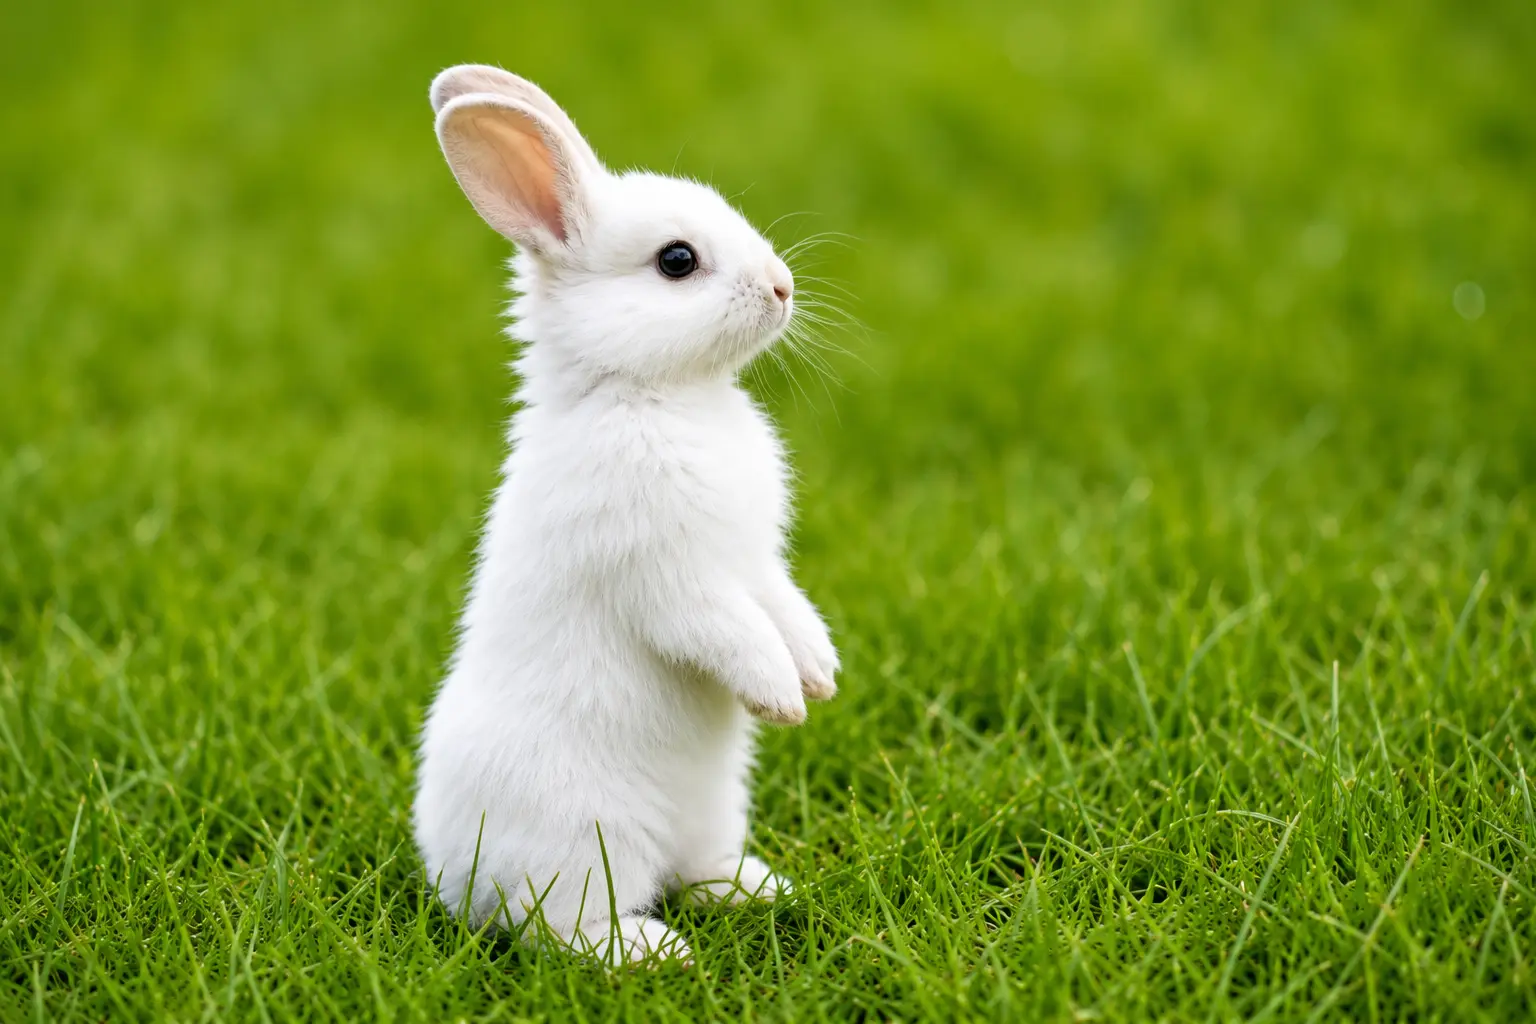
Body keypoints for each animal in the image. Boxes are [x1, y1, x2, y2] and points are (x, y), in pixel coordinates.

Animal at [412, 65, 840, 965]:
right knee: (560, 924)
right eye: (677, 261)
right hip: (583, 840)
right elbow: (733, 632)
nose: (782, 287)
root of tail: (451, 875)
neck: (661, 396)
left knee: (692, 871)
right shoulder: (671, 578)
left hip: (714, 807)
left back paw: (759, 891)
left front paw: (819, 674)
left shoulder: (754, 564)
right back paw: (652, 952)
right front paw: (781, 697)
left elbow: (784, 606)